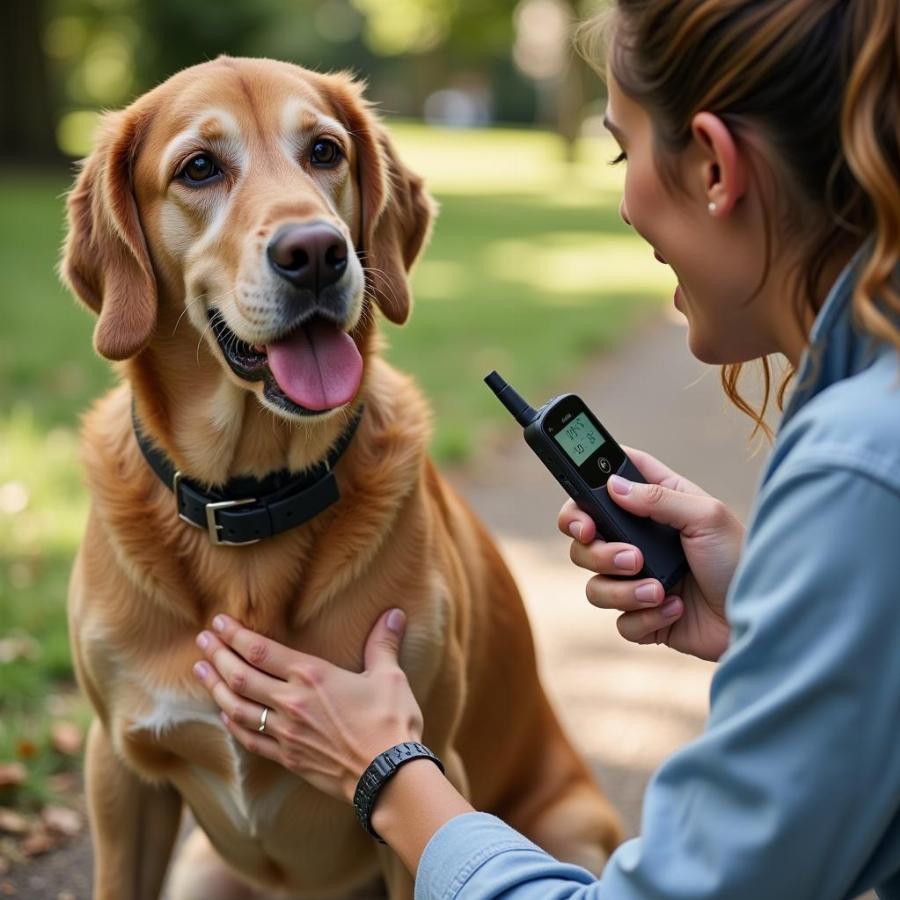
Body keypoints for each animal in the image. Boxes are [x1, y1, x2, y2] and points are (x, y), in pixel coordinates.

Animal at [61, 58, 620, 900]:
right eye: (199, 168)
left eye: (324, 151)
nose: (317, 252)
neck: (251, 497)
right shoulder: (120, 773)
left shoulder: (433, 766)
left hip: (574, 829)